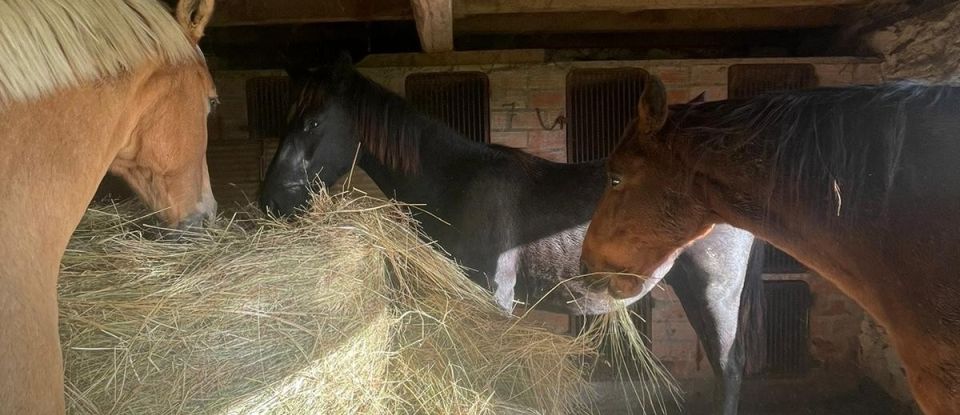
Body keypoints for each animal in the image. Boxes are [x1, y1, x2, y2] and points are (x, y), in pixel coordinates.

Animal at [260, 59, 764, 415]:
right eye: (285, 120)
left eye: (312, 122)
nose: (272, 200)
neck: (457, 183)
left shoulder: (493, 297)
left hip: (714, 290)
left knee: (730, 367)